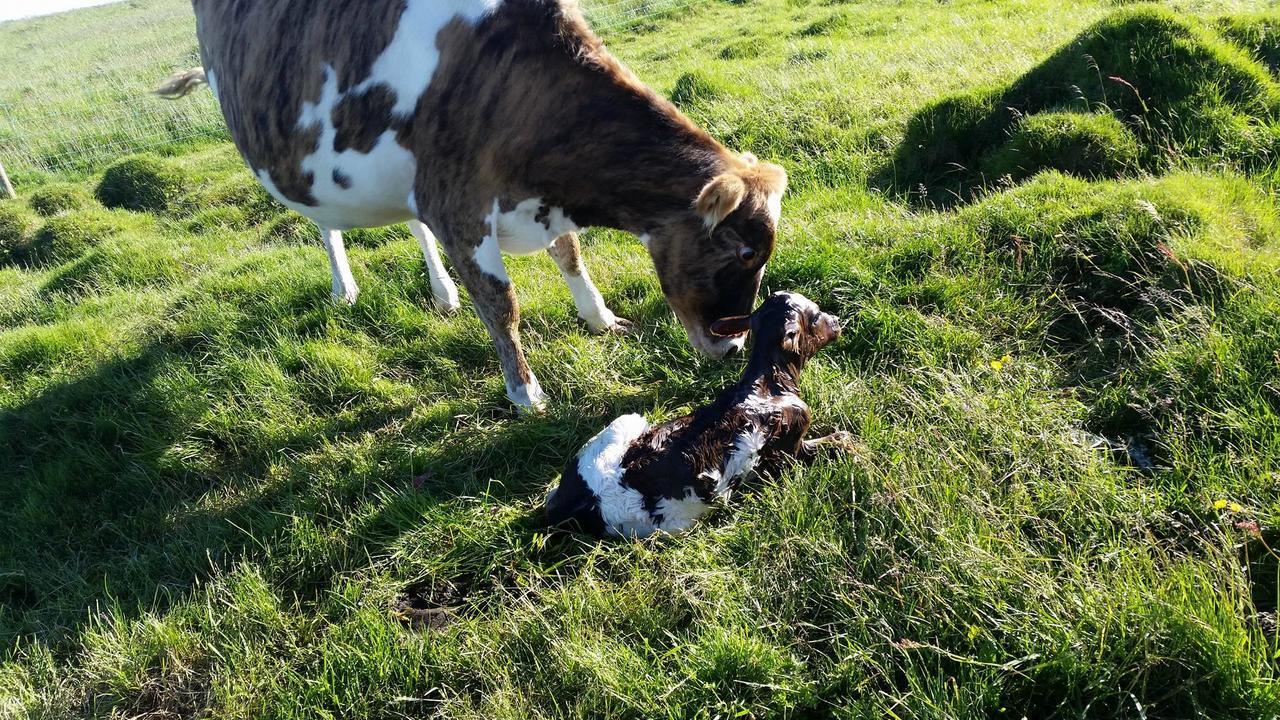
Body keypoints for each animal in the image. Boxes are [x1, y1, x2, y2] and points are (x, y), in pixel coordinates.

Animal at [167, 0, 788, 409]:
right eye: (742, 252)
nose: (733, 345)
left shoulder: (529, 198)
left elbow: (570, 255)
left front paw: (600, 318)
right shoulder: (456, 205)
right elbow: (501, 303)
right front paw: (526, 393)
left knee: (412, 227)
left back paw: (441, 292)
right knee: (327, 226)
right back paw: (345, 286)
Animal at [545, 288, 844, 535]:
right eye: (815, 315)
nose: (837, 321)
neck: (768, 385)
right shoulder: (792, 447)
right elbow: (840, 439)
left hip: (620, 426)